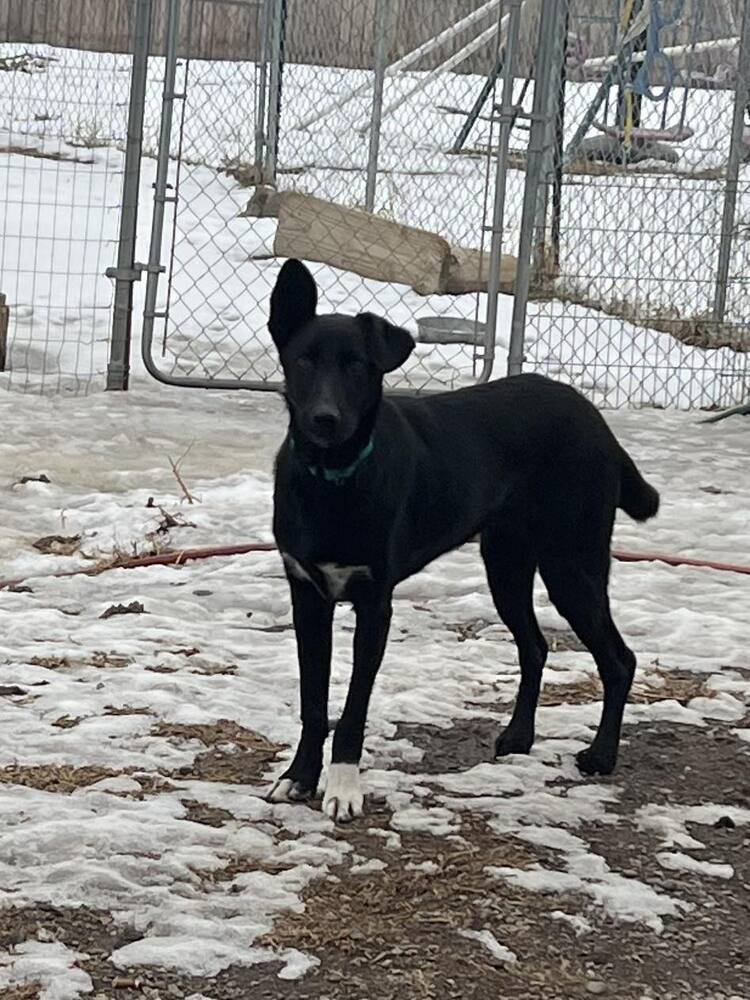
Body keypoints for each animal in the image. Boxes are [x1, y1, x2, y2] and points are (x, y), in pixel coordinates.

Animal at [268, 258, 656, 820]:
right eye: (303, 361)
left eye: (358, 366)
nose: (325, 419)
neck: (333, 477)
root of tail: (595, 419)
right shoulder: (308, 597)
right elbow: (314, 703)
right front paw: (298, 777)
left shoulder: (375, 605)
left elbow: (353, 708)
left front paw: (343, 789)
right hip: (506, 564)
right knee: (535, 646)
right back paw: (518, 737)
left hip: (573, 564)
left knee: (619, 659)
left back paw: (601, 756)